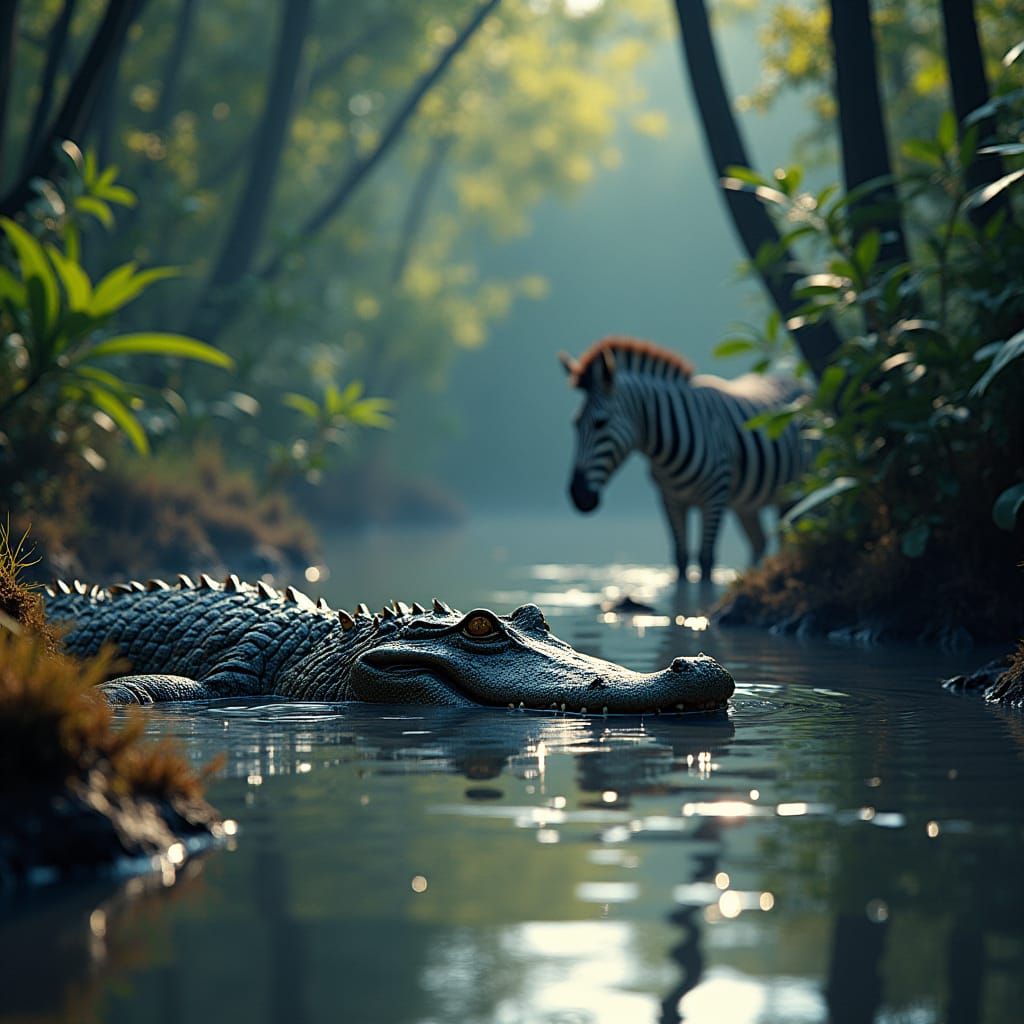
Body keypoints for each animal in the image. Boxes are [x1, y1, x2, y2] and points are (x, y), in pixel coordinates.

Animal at [560, 336, 811, 581]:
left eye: (600, 423)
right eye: (574, 423)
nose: (578, 496)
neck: (666, 449)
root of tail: (796, 381)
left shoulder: (715, 497)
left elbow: (706, 560)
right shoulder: (670, 499)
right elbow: (680, 559)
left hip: (798, 493)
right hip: (748, 503)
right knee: (760, 542)